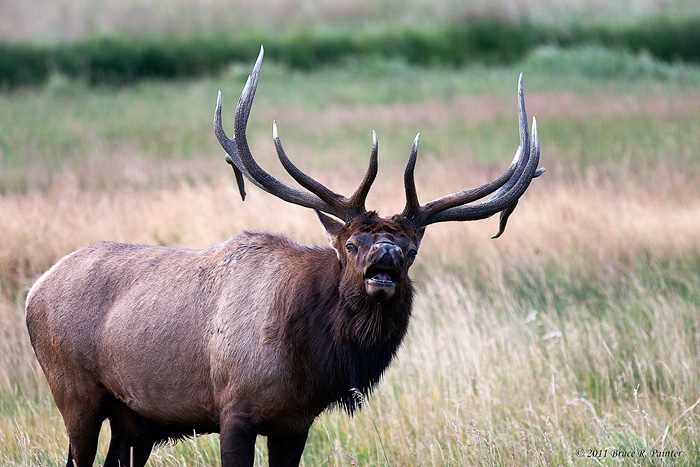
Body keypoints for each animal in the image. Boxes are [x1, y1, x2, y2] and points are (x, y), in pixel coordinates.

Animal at [25, 46, 544, 467]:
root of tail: (34, 291)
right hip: (74, 392)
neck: (309, 359)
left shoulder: (295, 423)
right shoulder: (234, 408)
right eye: (350, 244)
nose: (387, 258)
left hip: (131, 415)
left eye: (413, 250)